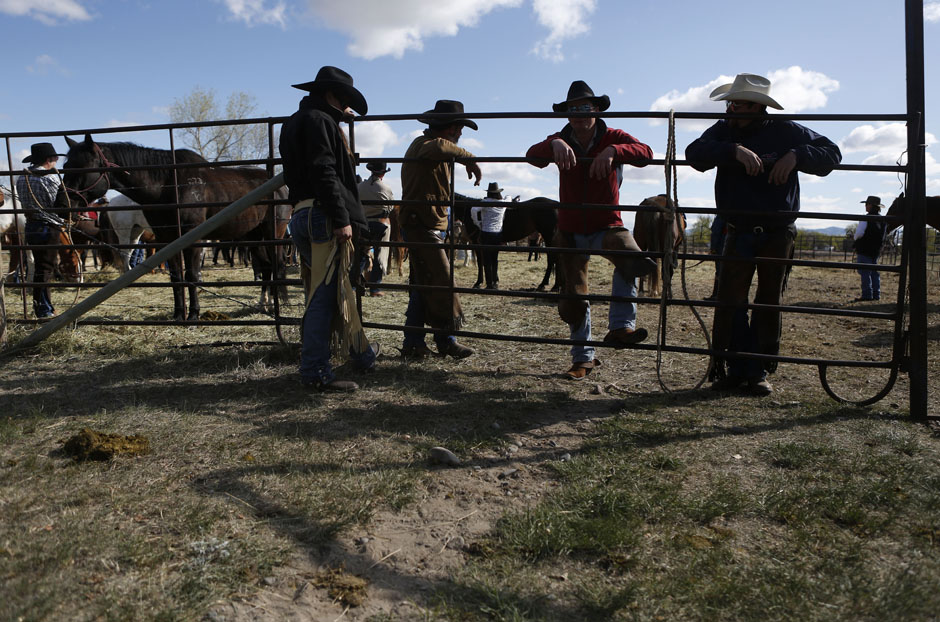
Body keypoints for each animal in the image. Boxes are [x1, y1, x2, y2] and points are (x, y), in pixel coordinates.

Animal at [61, 133, 288, 320]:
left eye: (83, 167)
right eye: (65, 167)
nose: (61, 204)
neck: (168, 185)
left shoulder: (193, 240)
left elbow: (191, 275)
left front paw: (194, 314)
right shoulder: (168, 240)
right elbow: (176, 277)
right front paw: (179, 315)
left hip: (273, 232)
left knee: (277, 263)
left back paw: (281, 303)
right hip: (253, 236)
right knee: (266, 266)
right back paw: (265, 304)